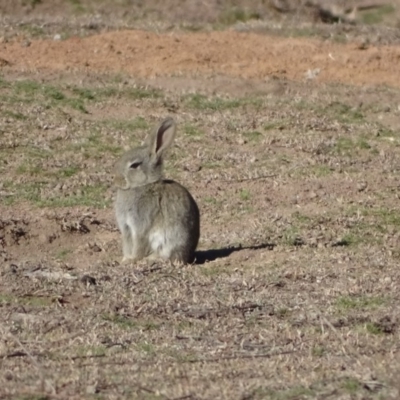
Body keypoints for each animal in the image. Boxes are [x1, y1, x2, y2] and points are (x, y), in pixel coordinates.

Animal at [113, 117, 200, 264]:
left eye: (135, 165)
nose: (116, 180)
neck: (143, 185)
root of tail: (188, 255)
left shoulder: (140, 225)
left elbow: (139, 242)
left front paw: (133, 259)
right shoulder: (126, 228)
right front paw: (125, 259)